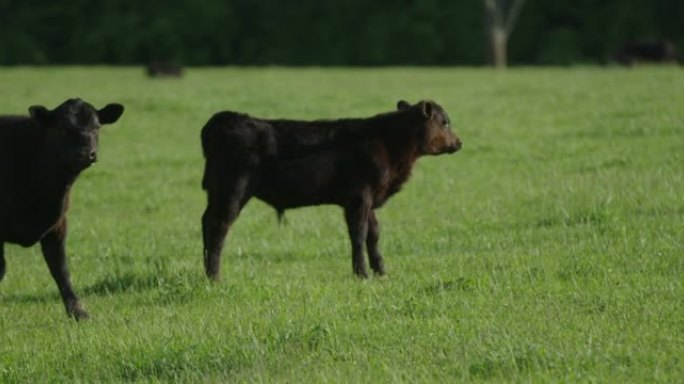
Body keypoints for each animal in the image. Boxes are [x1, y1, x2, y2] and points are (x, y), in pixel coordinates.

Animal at [0, 98, 124, 318]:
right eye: (63, 128)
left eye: (96, 127)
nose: (86, 153)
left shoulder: (58, 224)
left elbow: (60, 269)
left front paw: (78, 311)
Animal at [200, 99, 462, 280]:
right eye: (445, 122)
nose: (459, 143)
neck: (388, 143)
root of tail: (224, 119)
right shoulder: (358, 198)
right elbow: (358, 234)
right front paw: (362, 274)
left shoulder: (369, 201)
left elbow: (374, 234)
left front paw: (381, 271)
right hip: (232, 191)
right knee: (218, 226)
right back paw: (215, 276)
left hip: (217, 192)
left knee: (206, 222)